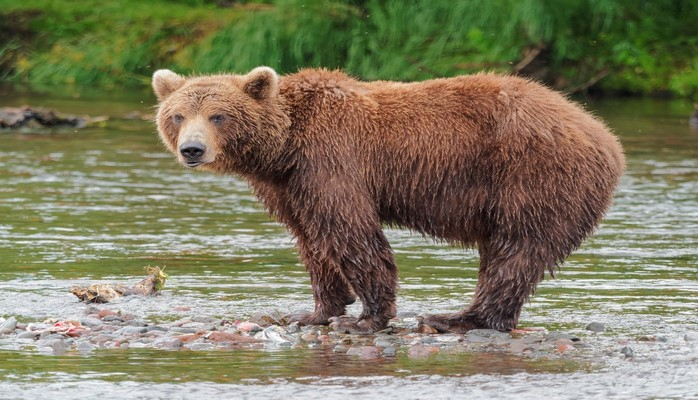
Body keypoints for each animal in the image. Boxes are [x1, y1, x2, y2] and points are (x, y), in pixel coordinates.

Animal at [150, 66, 624, 334]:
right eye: (177, 115)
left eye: (218, 115)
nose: (192, 149)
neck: (283, 148)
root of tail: (606, 137)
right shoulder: (289, 186)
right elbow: (312, 241)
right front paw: (314, 311)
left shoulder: (332, 160)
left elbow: (351, 232)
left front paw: (365, 318)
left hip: (534, 176)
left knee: (516, 250)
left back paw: (456, 318)